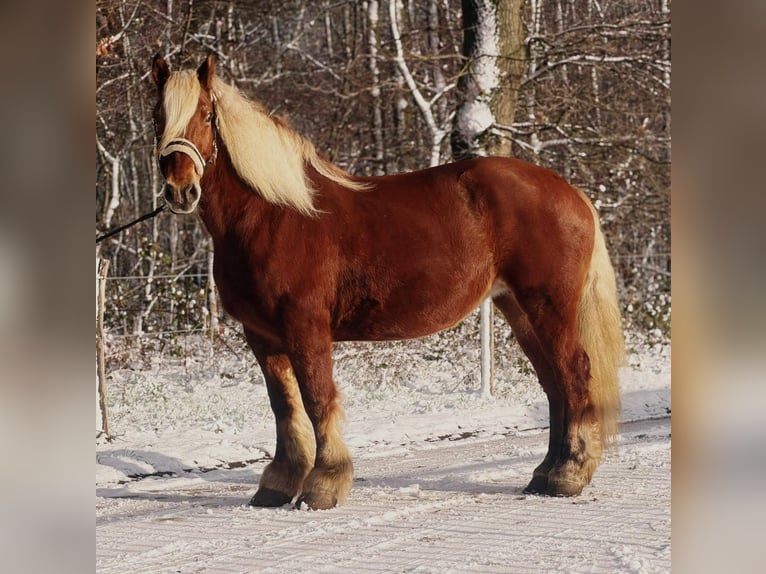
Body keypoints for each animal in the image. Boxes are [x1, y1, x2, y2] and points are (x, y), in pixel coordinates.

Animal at [150, 54, 624, 510]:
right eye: (157, 116)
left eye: (206, 115)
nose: (180, 189)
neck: (274, 214)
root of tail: (570, 193)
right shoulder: (262, 335)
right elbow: (283, 406)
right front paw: (278, 485)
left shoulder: (305, 327)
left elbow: (317, 400)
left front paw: (324, 485)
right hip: (519, 309)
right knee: (555, 385)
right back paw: (545, 473)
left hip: (548, 306)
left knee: (574, 375)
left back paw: (569, 474)